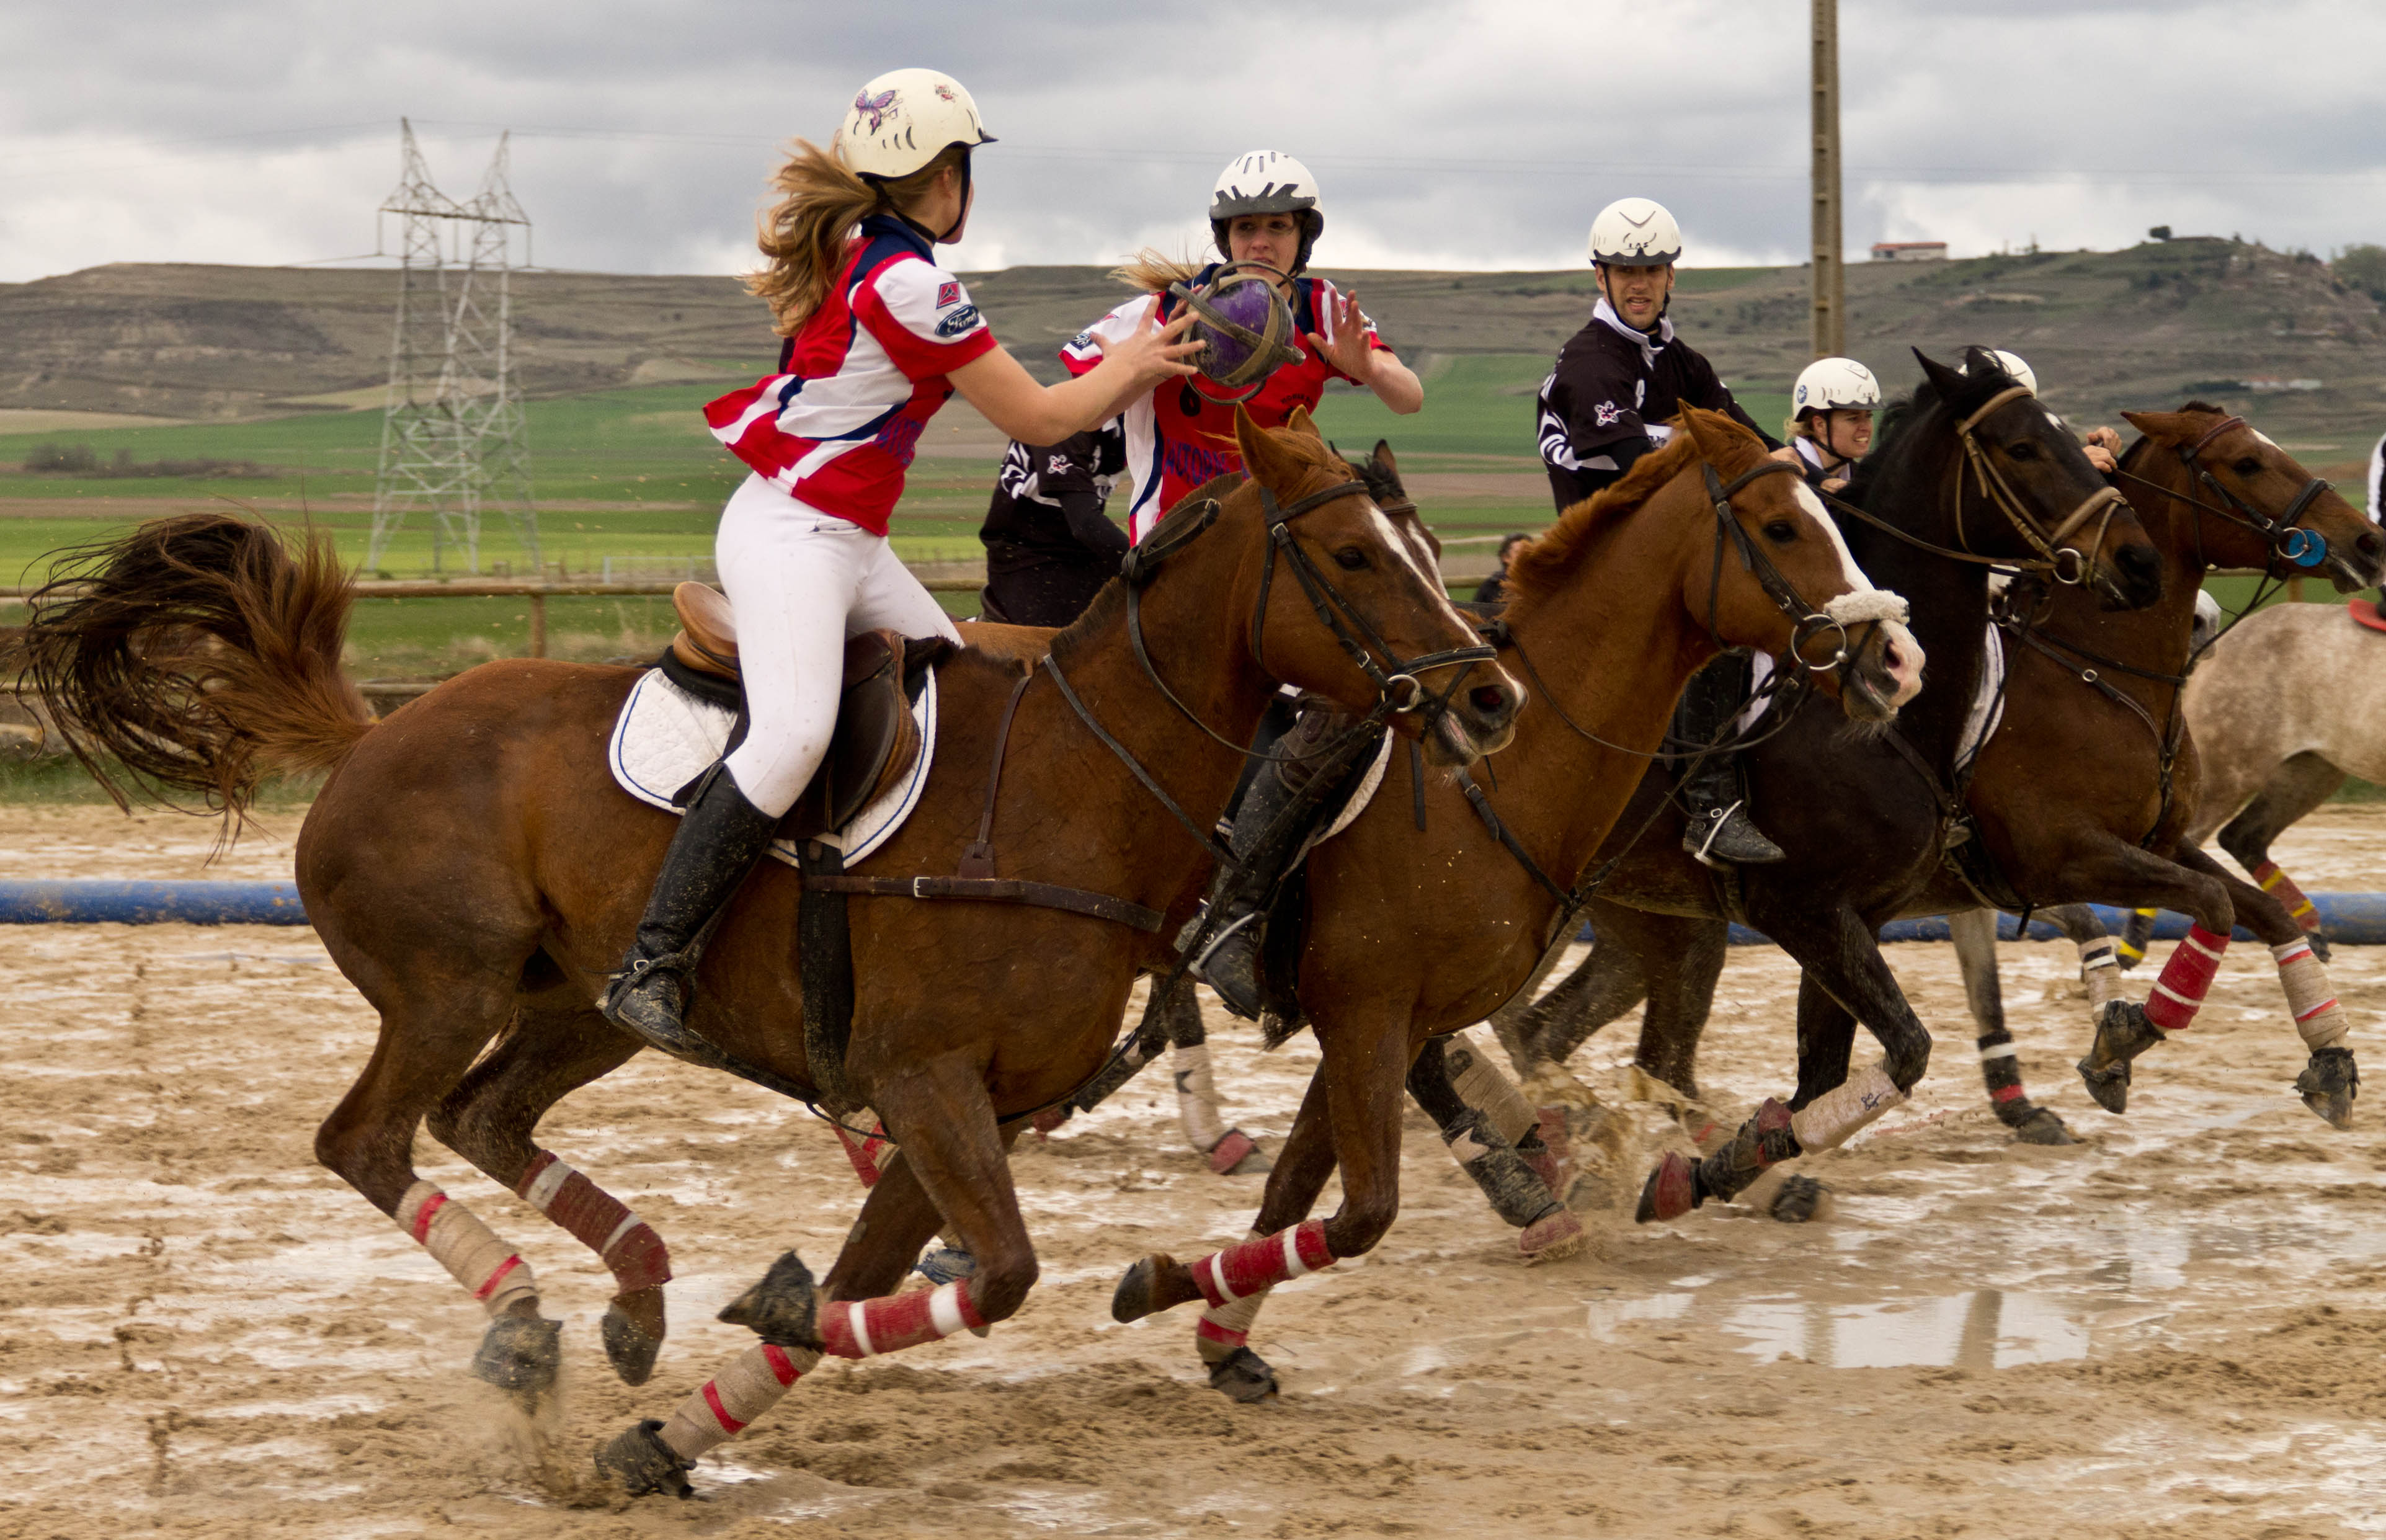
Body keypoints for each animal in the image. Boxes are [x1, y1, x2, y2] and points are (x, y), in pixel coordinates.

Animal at [9, 406, 1517, 1480]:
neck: (1073, 786)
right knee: (369, 1135)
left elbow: (882, 1280)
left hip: (581, 1006)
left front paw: (679, 1426)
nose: (1492, 698)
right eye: (1353, 557)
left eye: (1428, 549)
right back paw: (521, 1315)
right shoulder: (924, 1080)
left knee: (482, 1114)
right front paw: (772, 1321)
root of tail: (374, 725)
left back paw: (626, 1294)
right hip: (448, 985)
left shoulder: (972, 1106)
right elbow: (999, 1274)